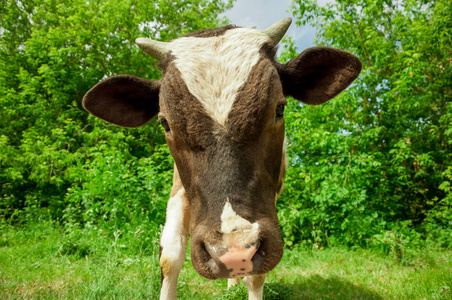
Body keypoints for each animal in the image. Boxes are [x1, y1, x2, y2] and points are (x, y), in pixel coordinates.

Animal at [83, 17, 362, 298]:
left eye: (279, 109)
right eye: (165, 123)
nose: (234, 255)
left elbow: (256, 276)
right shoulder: (178, 188)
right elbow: (170, 256)